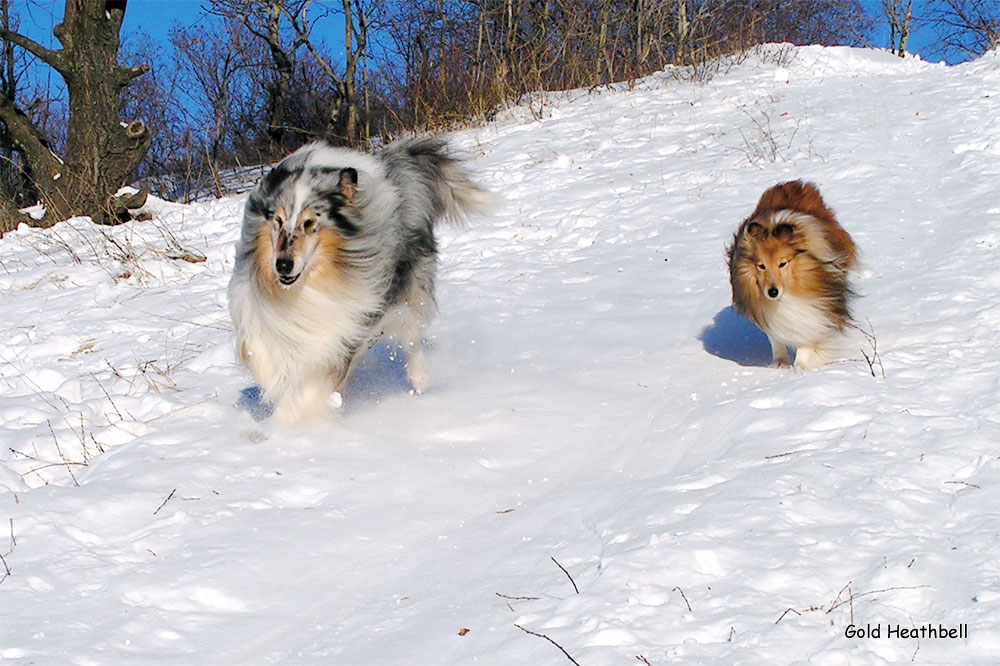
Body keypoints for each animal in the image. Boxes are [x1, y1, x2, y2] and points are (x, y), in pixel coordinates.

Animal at [228, 136, 492, 420]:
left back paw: (419, 377)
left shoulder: (345, 325)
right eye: (277, 220)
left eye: (310, 223)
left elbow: (315, 377)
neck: (308, 287)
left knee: (410, 334)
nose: (283, 266)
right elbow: (260, 349)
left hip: (410, 286)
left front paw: (290, 419)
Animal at [728, 180, 860, 368]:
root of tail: (793, 184)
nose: (772, 292)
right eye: (761, 266)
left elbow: (806, 334)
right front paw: (780, 364)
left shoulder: (814, 308)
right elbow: (775, 337)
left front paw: (800, 367)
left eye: (782, 263)